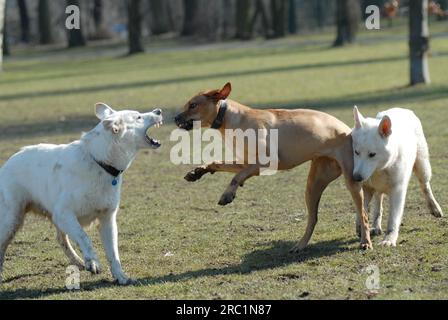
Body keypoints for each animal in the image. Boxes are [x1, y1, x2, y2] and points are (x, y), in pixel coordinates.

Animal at [0, 103, 164, 284]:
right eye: (138, 117)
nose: (159, 111)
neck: (100, 162)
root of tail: (8, 162)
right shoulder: (64, 214)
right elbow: (84, 236)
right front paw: (93, 261)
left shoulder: (107, 219)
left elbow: (113, 253)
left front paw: (120, 276)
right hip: (11, 220)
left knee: (61, 239)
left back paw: (78, 262)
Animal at [174, 82, 372, 250]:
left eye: (193, 105)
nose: (175, 118)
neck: (230, 119)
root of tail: (349, 131)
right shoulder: (246, 163)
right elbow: (219, 164)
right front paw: (197, 172)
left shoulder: (266, 162)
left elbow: (237, 177)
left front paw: (227, 194)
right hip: (314, 184)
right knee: (313, 218)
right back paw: (300, 245)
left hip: (351, 181)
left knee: (363, 214)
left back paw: (365, 242)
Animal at [352, 106, 442, 246]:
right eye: (356, 152)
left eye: (372, 154)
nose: (356, 178)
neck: (380, 169)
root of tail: (402, 109)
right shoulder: (366, 187)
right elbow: (362, 210)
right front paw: (361, 227)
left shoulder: (397, 191)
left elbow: (393, 219)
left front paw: (389, 240)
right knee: (378, 204)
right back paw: (376, 226)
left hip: (422, 166)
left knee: (425, 186)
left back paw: (435, 208)